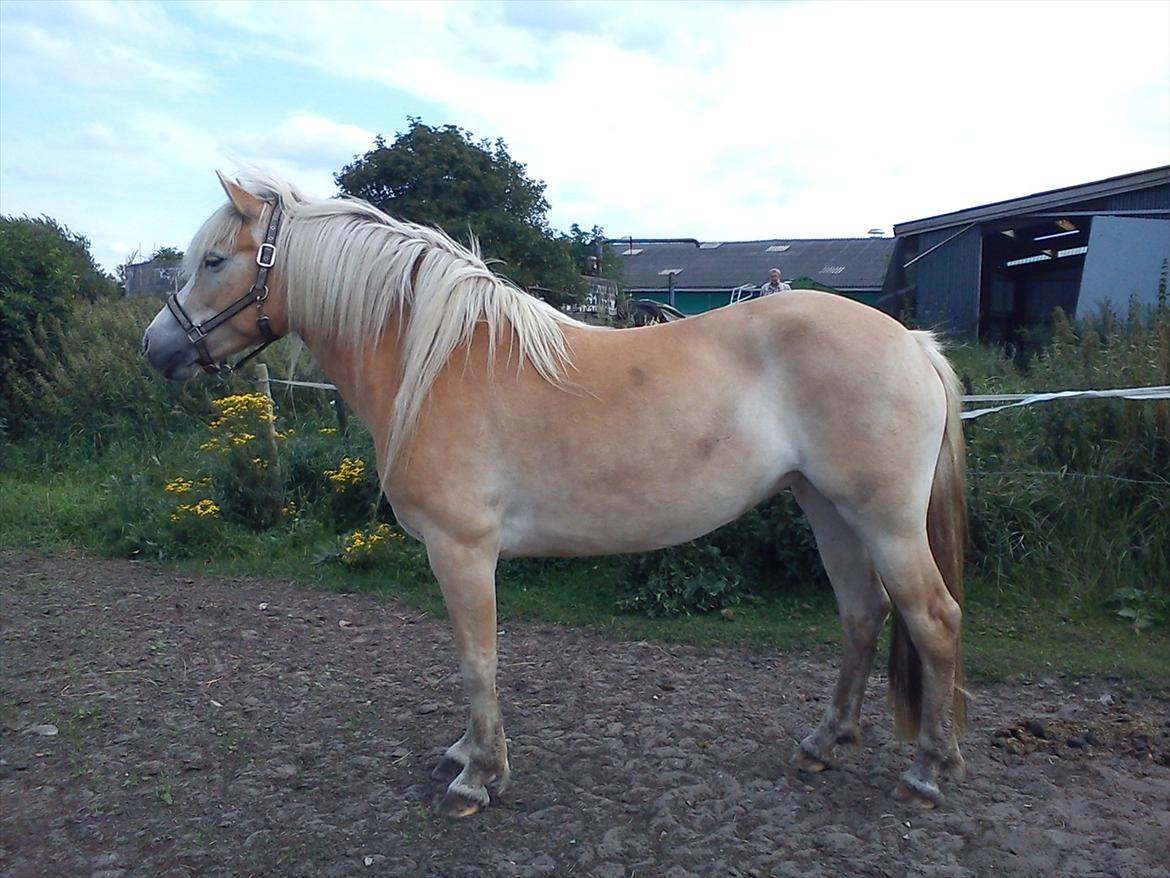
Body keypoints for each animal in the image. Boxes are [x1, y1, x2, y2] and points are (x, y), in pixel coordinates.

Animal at [143, 169, 968, 819]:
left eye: (214, 259)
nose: (156, 348)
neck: (436, 361)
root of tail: (912, 343)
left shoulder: (461, 551)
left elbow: (477, 659)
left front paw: (478, 777)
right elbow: (471, 661)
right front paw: (466, 754)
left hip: (886, 521)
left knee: (932, 620)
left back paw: (929, 771)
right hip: (827, 510)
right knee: (862, 616)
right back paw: (824, 743)